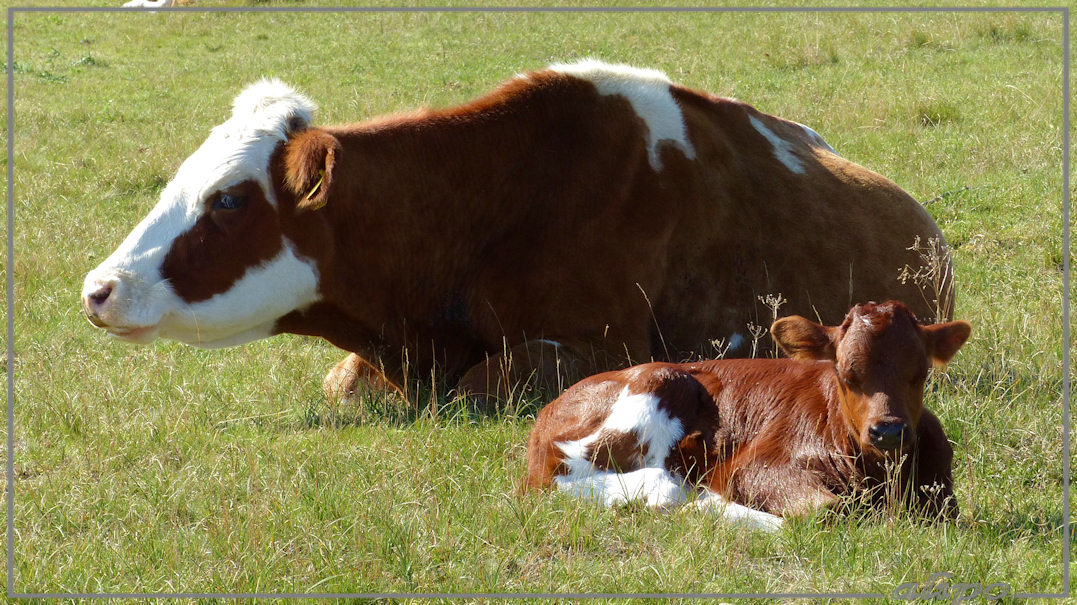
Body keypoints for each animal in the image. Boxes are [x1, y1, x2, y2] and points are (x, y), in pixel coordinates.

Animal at [521, 299, 969, 529]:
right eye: (846, 374)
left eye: (921, 373)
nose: (889, 432)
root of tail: (551, 407)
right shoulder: (758, 464)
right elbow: (826, 510)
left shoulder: (942, 497)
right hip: (657, 384)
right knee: (558, 477)